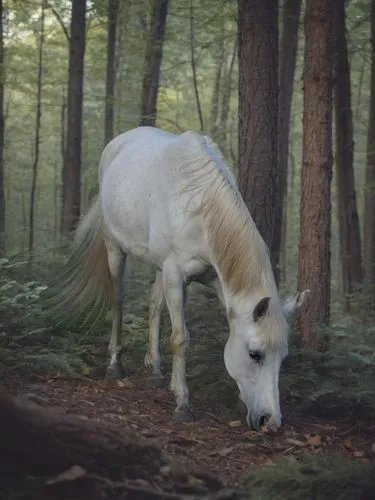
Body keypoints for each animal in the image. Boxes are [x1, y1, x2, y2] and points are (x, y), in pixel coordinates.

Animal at [64, 128, 310, 430]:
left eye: (282, 357)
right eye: (255, 354)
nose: (270, 422)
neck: (198, 207)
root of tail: (118, 141)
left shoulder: (209, 279)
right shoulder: (174, 274)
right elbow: (180, 338)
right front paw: (182, 403)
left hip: (158, 267)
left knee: (154, 306)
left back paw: (155, 371)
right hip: (115, 249)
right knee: (118, 301)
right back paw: (115, 364)